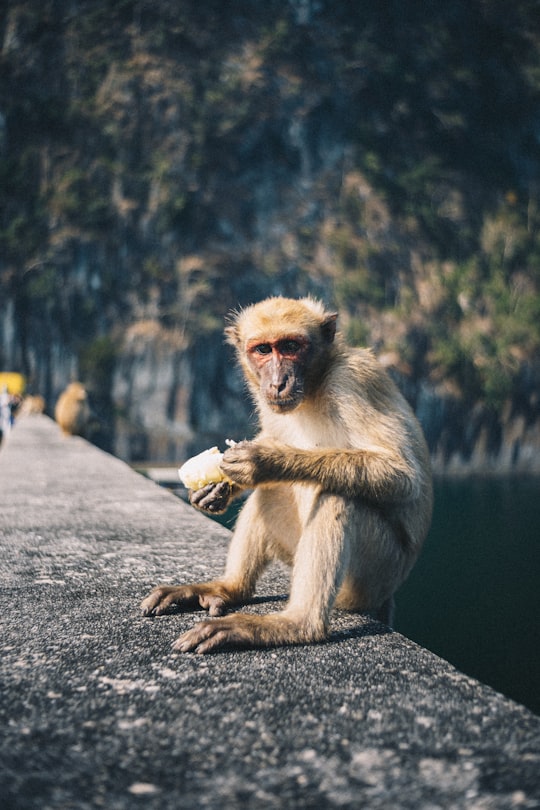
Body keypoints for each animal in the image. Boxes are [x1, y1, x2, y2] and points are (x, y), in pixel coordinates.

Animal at [141, 296, 432, 652]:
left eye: (291, 346)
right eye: (263, 350)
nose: (278, 382)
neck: (316, 384)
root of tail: (386, 595)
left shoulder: (354, 379)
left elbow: (402, 475)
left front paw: (264, 460)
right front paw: (214, 490)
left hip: (374, 575)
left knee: (338, 493)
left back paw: (295, 625)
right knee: (272, 492)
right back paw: (229, 588)